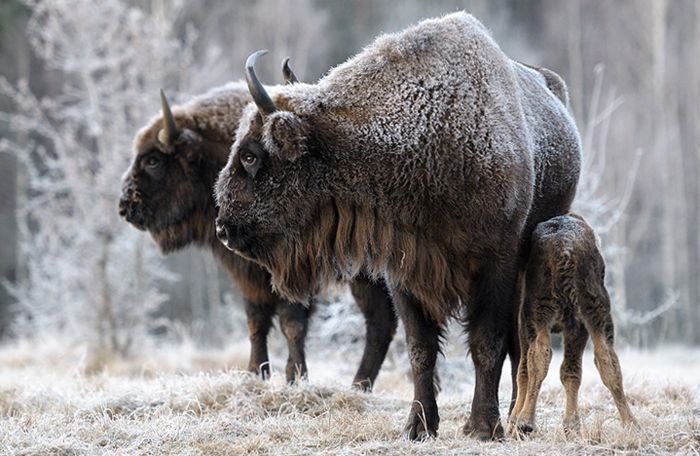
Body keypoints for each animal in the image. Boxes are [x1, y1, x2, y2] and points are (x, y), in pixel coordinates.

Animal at [117, 77, 396, 388]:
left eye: (153, 160)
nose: (125, 206)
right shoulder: (249, 277)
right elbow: (256, 321)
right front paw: (256, 373)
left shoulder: (288, 270)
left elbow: (291, 323)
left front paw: (295, 377)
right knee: (381, 320)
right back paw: (360, 386)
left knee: (380, 320)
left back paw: (359, 385)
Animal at [216, 12, 584, 440]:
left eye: (251, 155)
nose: (223, 228)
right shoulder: (405, 272)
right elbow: (420, 349)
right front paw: (418, 426)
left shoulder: (497, 266)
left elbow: (488, 343)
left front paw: (482, 427)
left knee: (519, 342)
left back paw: (514, 418)